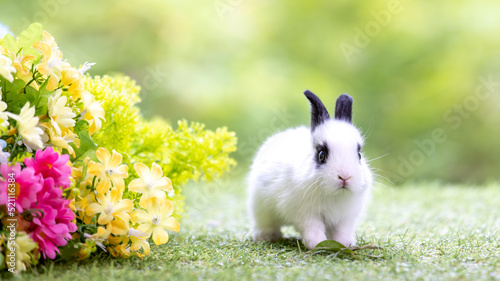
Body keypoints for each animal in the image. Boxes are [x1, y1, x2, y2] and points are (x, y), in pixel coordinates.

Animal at [248, 89, 374, 247]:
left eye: (359, 155)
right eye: (321, 155)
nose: (345, 176)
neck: (333, 195)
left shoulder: (345, 217)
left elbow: (341, 231)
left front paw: (345, 244)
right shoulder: (305, 213)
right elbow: (312, 228)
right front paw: (318, 244)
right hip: (261, 208)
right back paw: (267, 237)